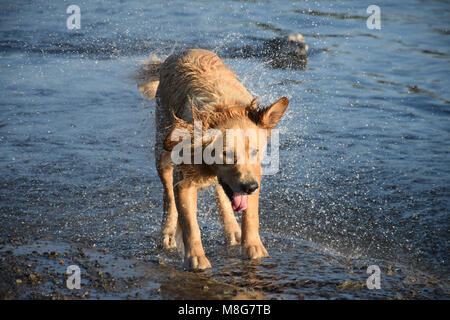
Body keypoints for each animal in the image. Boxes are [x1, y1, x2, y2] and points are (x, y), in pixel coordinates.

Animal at [135, 49, 288, 270]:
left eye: (255, 152)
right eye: (226, 154)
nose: (250, 187)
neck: (223, 110)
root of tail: (183, 51)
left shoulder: (255, 174)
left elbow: (250, 215)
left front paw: (254, 248)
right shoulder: (184, 180)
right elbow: (189, 224)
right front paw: (196, 259)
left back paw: (232, 229)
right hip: (161, 150)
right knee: (168, 195)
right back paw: (167, 232)